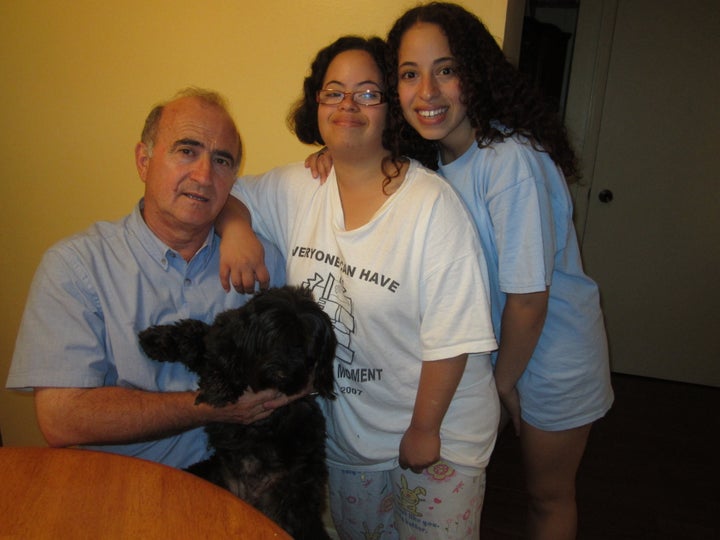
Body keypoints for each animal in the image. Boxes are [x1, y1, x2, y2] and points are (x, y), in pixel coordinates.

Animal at [140, 284, 338, 536]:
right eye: (271, 338)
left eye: (305, 349)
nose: (282, 374)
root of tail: (248, 496)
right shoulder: (217, 343)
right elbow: (194, 334)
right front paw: (154, 340)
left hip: (294, 504)